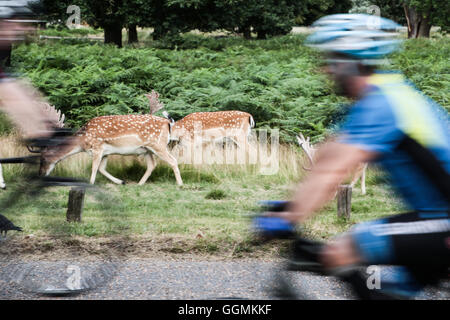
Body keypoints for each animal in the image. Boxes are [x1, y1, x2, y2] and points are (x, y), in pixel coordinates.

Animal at [39, 90, 184, 185]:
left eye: (43, 159)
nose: (41, 174)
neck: (82, 142)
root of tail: (168, 122)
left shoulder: (97, 147)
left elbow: (94, 167)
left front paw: (90, 183)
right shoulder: (106, 152)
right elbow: (102, 168)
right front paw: (121, 181)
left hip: (158, 145)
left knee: (172, 160)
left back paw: (180, 184)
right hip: (146, 149)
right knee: (152, 165)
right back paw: (139, 184)